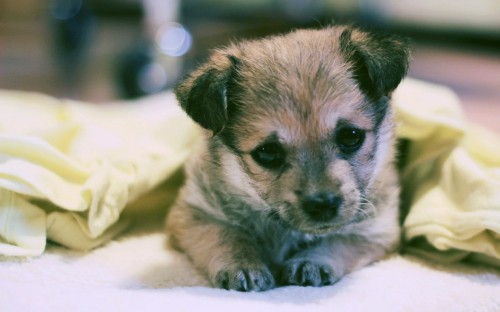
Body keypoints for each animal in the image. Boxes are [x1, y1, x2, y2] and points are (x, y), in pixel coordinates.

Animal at [167, 25, 410, 292]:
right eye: (267, 152)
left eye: (350, 136)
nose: (323, 204)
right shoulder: (192, 214)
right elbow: (224, 235)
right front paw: (243, 264)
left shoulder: (379, 230)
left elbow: (341, 239)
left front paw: (312, 261)